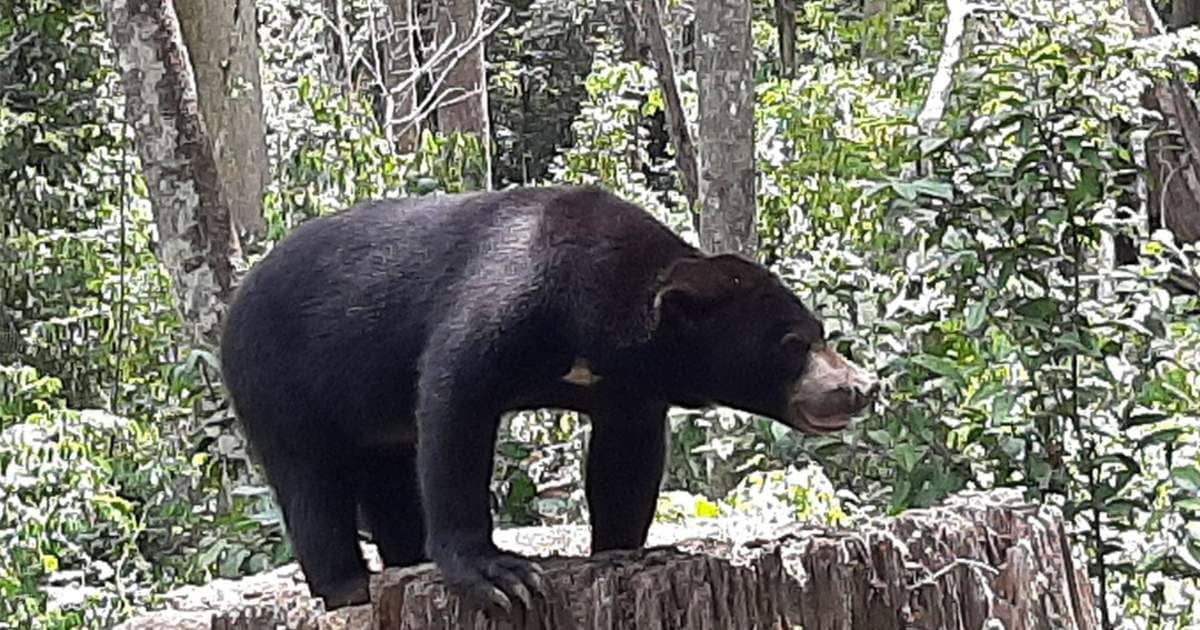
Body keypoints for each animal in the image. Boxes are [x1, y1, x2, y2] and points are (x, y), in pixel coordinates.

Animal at [218, 185, 879, 613]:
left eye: (819, 333)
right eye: (792, 345)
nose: (860, 387)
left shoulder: (628, 388)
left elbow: (626, 460)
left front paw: (621, 551)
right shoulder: (504, 299)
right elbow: (454, 409)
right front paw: (500, 575)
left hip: (366, 418)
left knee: (389, 477)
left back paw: (404, 562)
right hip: (277, 379)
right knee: (310, 482)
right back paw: (346, 588)